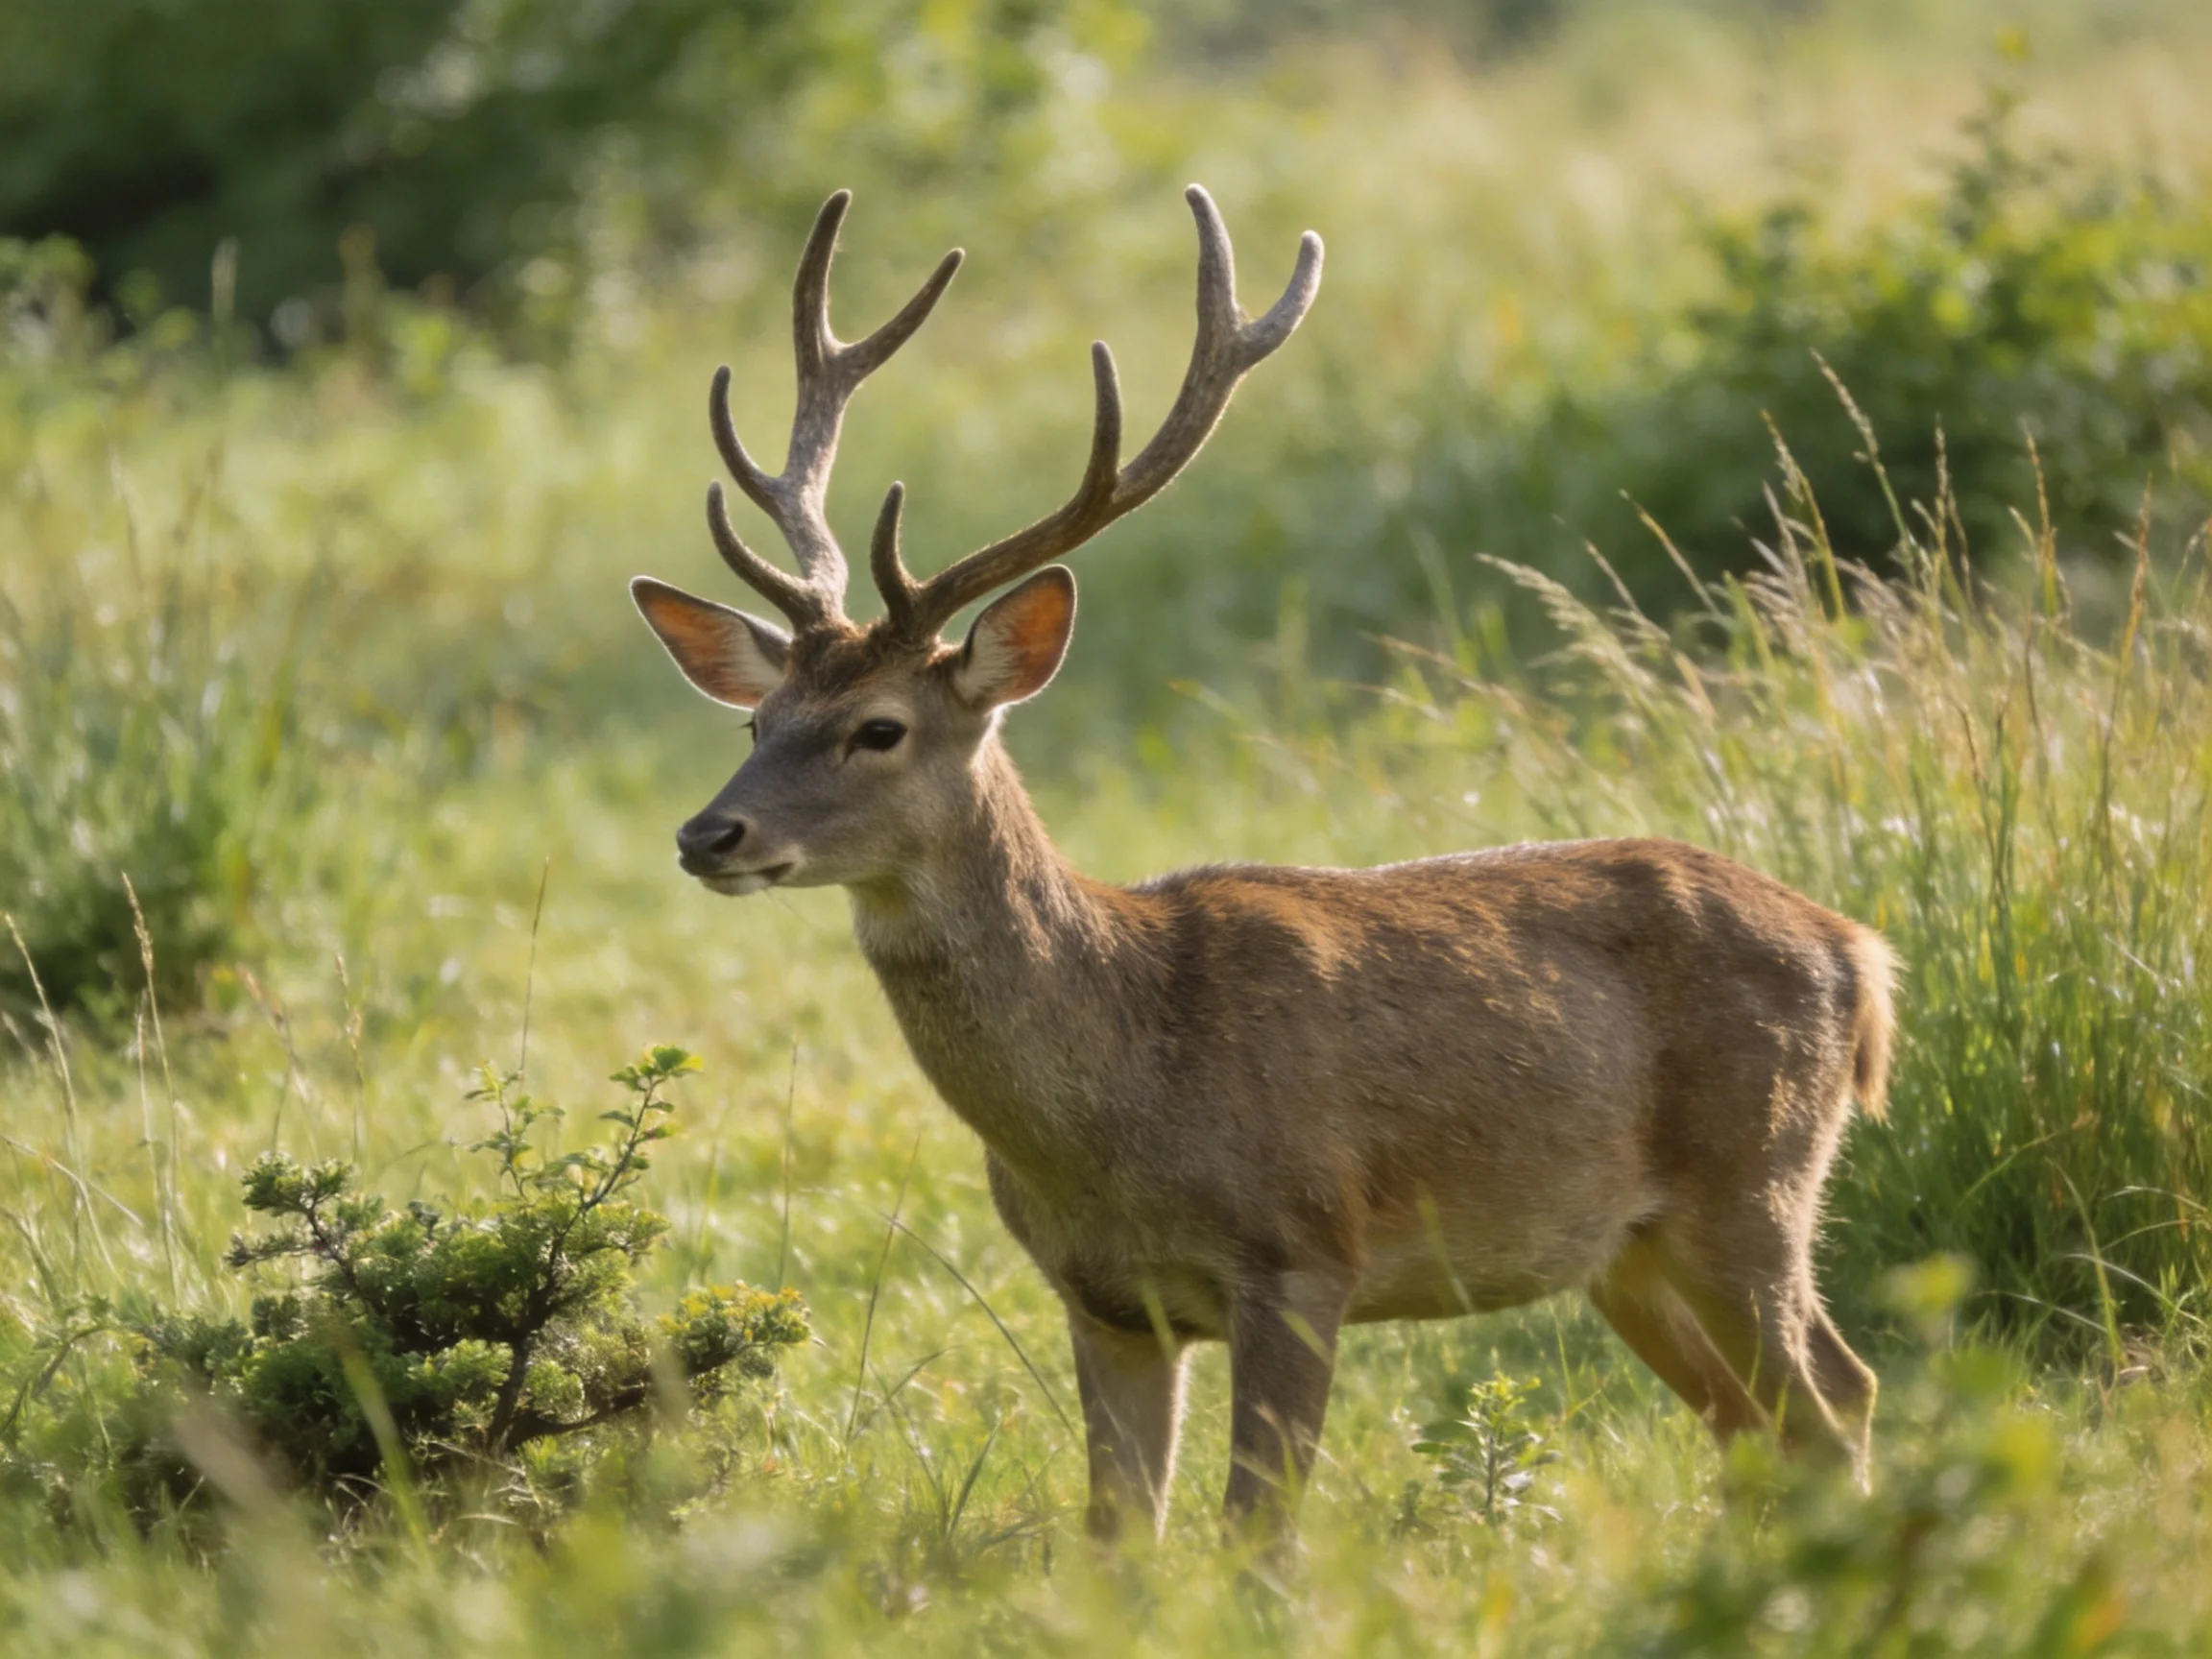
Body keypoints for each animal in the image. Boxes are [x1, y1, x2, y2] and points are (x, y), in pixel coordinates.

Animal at [631, 186, 1896, 1543]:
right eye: (756, 724)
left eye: (879, 728)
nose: (707, 835)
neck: (1126, 1085)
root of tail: (1861, 953)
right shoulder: (1103, 1299)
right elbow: (1116, 1537)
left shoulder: (1300, 1254)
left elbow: (1258, 1534)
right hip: (1627, 1250)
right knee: (1774, 1420)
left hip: (1751, 1182)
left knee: (1833, 1399)